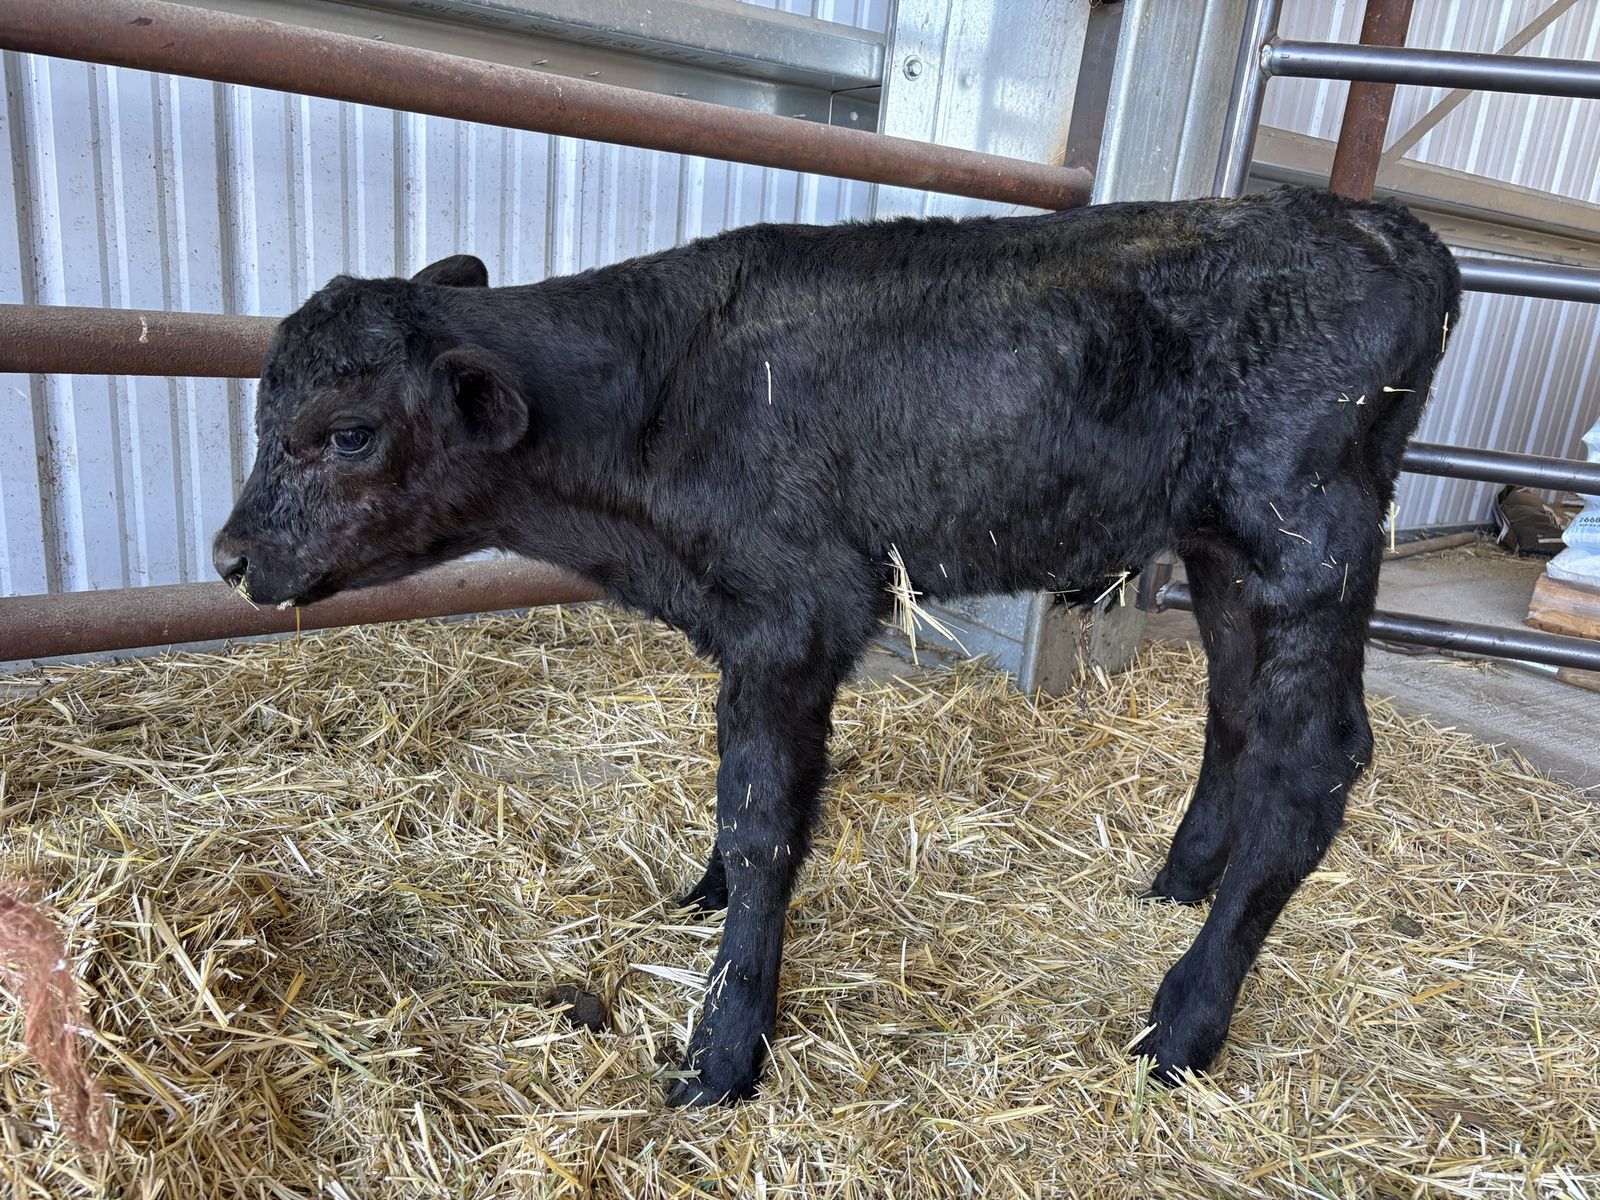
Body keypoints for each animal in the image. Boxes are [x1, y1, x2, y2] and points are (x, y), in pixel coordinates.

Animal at [213, 185, 1461, 1106]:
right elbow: (736, 792)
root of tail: (1377, 221)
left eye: (348, 432)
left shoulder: (795, 615)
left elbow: (767, 821)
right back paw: (1176, 882)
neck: (659, 398)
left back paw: (1183, 1022)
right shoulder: (746, 633)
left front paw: (724, 1047)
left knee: (1315, 761)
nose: (229, 556)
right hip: (1221, 553)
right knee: (1238, 714)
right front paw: (703, 896)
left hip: (1305, 541)